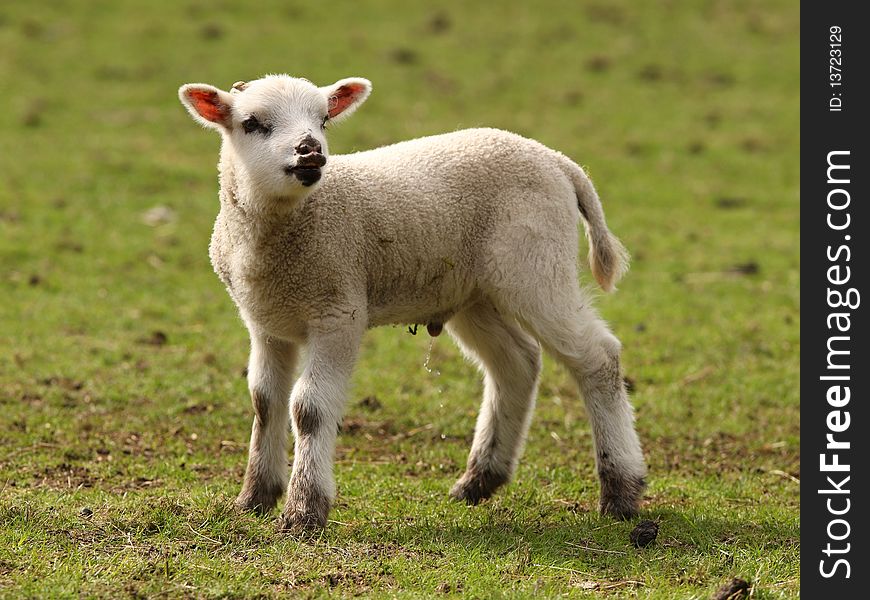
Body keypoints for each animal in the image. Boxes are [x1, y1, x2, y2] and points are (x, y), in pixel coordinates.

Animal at [177, 75, 648, 528]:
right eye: (252, 123)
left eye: (323, 119)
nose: (310, 150)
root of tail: (559, 162)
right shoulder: (265, 321)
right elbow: (264, 402)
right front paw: (254, 498)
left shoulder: (339, 310)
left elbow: (308, 408)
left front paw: (304, 510)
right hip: (473, 292)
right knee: (517, 363)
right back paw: (478, 480)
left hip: (536, 266)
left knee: (597, 357)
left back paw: (622, 490)